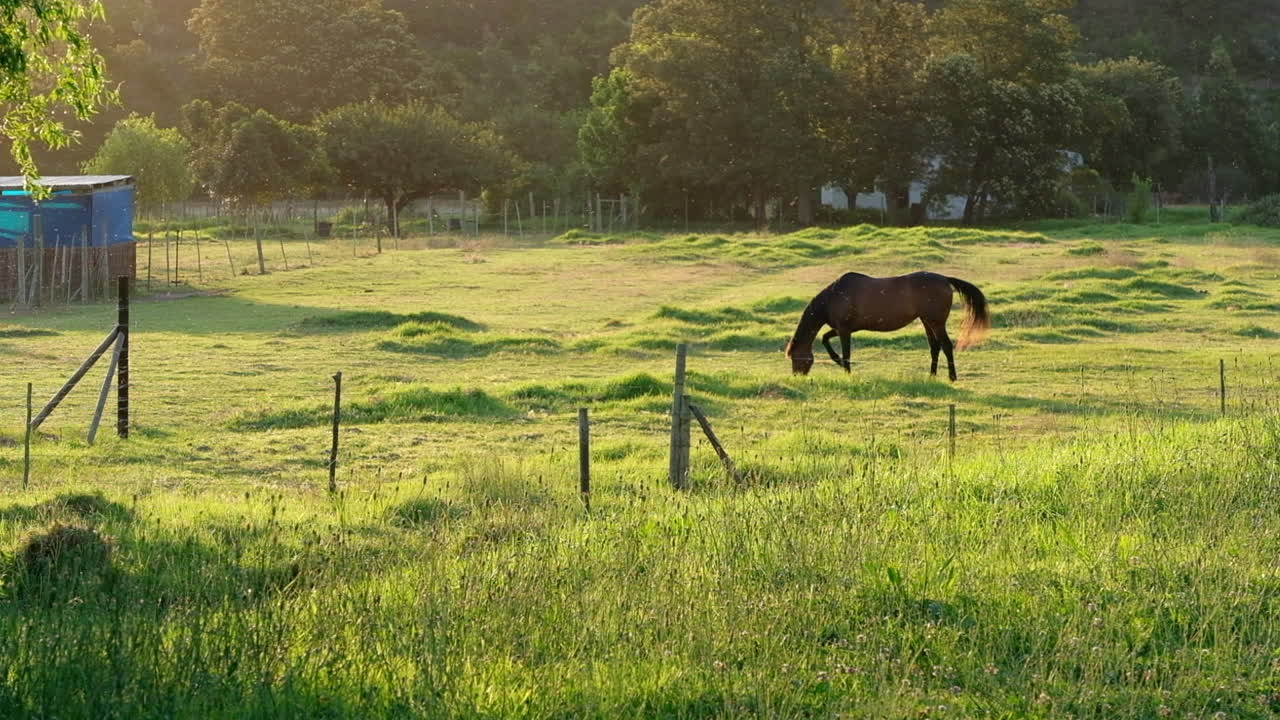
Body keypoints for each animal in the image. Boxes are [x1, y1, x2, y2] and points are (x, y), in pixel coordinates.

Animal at [783, 272, 990, 380]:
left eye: (795, 358)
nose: (797, 376)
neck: (833, 298)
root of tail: (945, 279)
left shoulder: (844, 330)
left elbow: (845, 352)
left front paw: (846, 370)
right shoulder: (843, 329)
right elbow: (826, 339)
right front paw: (839, 362)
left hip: (936, 323)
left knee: (946, 346)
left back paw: (952, 377)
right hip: (927, 322)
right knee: (935, 347)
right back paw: (931, 375)